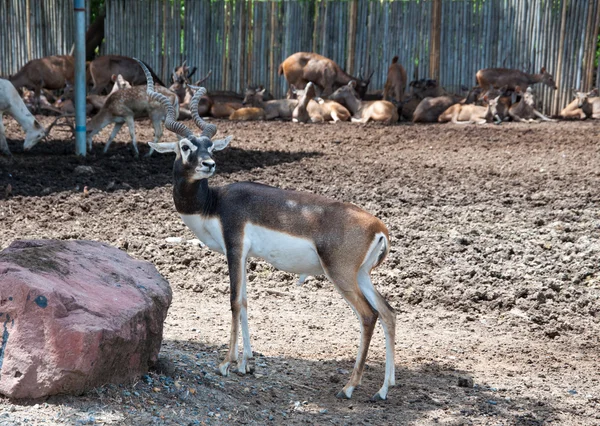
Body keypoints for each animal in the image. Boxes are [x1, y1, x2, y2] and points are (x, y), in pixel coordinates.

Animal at [138, 58, 396, 402]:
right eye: (186, 146)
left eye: (209, 145)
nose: (209, 164)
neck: (213, 203)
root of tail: (378, 226)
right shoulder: (245, 255)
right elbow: (246, 302)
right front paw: (246, 363)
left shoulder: (234, 247)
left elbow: (234, 302)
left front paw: (226, 363)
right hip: (362, 275)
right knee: (389, 313)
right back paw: (384, 388)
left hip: (340, 274)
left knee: (369, 316)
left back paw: (350, 387)